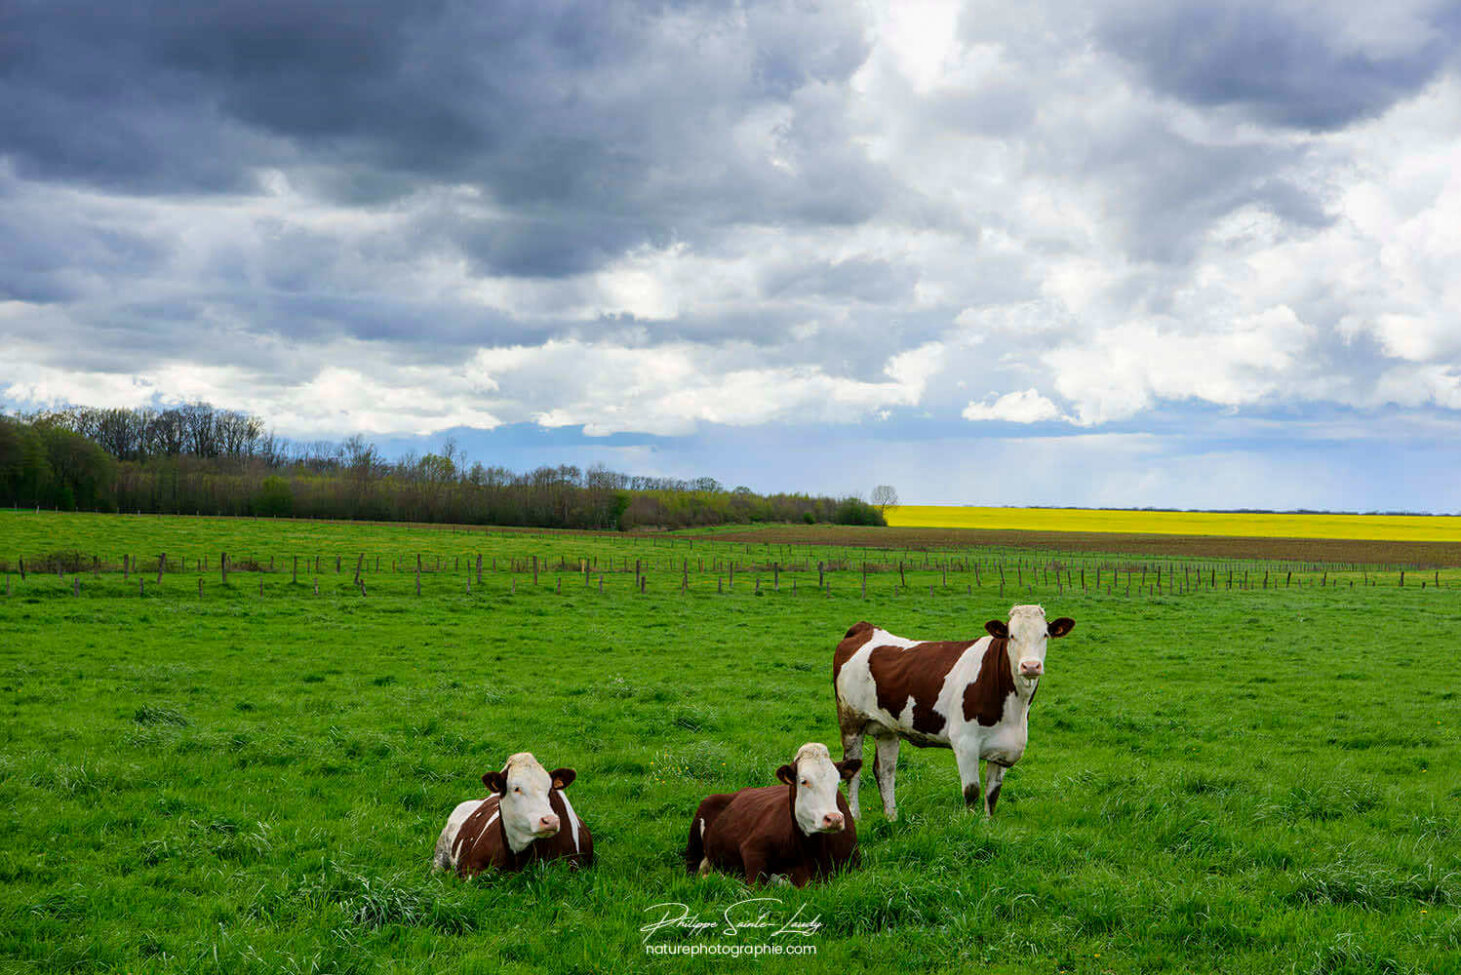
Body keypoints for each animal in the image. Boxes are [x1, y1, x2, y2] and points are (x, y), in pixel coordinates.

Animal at [833, 605, 1075, 820]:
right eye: (1011, 636)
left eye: (1045, 635)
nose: (1030, 666)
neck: (1014, 711)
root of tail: (865, 628)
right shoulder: (965, 743)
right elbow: (972, 791)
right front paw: (970, 829)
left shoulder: (1004, 750)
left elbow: (992, 795)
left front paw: (986, 827)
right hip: (850, 720)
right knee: (853, 769)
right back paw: (855, 817)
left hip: (887, 728)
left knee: (885, 771)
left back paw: (892, 818)